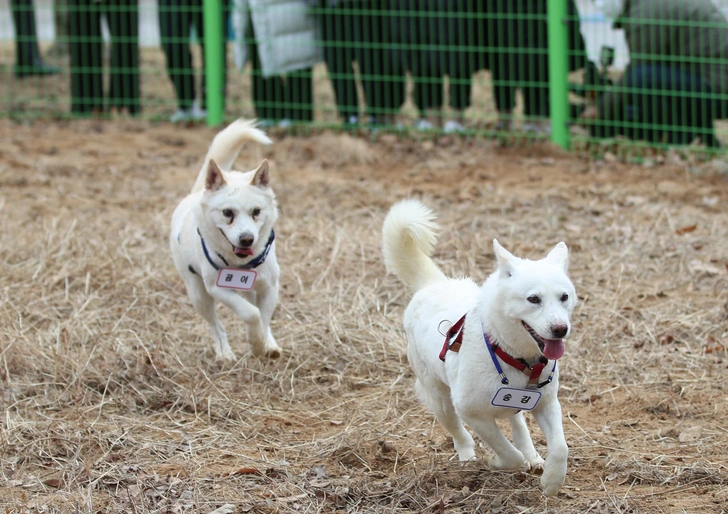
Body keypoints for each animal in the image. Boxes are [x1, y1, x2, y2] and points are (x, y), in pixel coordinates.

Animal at [171, 119, 282, 360]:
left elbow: (264, 317)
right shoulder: (218, 287)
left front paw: (263, 344)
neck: (241, 264)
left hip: (250, 289)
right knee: (216, 326)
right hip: (198, 295)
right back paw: (224, 353)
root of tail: (195, 194)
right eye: (227, 213)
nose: (247, 239)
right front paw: (256, 343)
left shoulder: (269, 286)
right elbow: (251, 314)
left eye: (256, 211)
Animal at [384, 198, 576, 494]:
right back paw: (468, 457)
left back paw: (532, 456)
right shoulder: (472, 413)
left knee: (517, 421)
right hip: (441, 401)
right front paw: (495, 461)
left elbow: (560, 447)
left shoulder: (546, 403)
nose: (560, 329)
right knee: (459, 433)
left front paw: (552, 481)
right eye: (533, 299)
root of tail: (433, 284)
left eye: (564, 297)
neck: (515, 355)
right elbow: (507, 452)